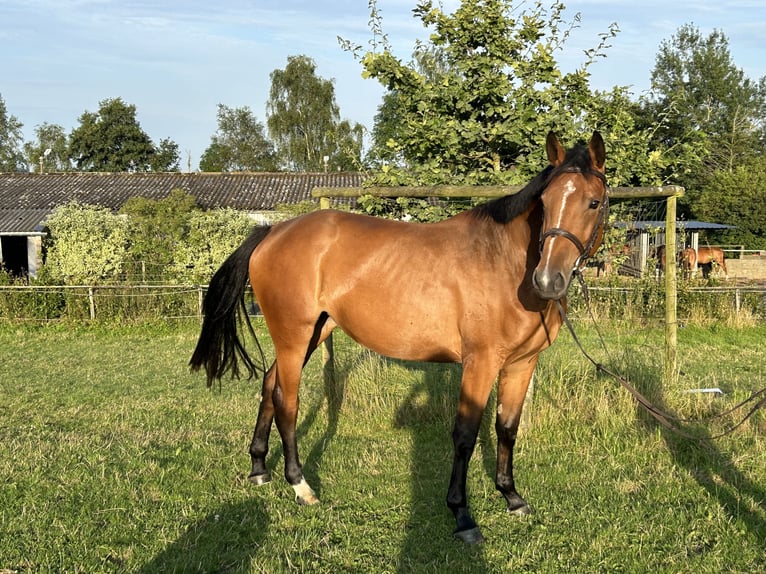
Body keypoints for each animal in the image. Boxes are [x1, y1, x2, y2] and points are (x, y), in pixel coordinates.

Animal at [189, 133, 608, 548]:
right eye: (545, 202)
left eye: (593, 202)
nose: (548, 279)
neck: (502, 260)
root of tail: (272, 232)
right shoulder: (481, 362)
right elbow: (465, 435)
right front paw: (462, 514)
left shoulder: (521, 363)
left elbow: (507, 428)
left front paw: (511, 496)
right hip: (294, 335)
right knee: (286, 401)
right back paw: (300, 485)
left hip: (314, 332)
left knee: (268, 384)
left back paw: (259, 468)